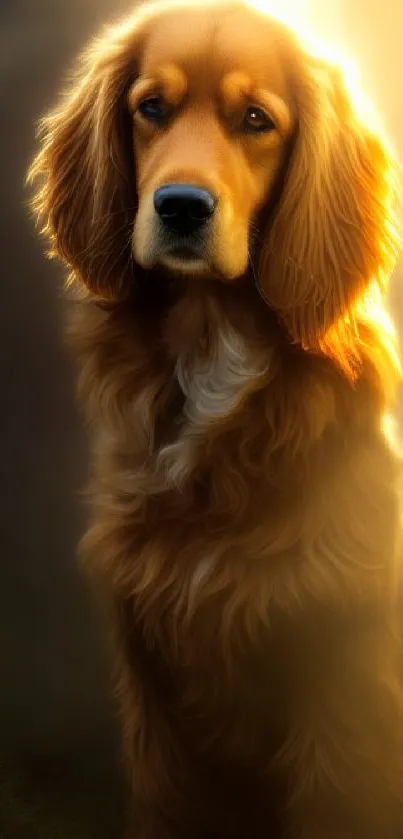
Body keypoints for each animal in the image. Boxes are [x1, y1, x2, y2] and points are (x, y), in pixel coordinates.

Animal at [28, 0, 403, 836]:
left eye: (255, 120)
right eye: (151, 108)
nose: (180, 206)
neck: (211, 353)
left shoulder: (340, 675)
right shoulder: (155, 686)